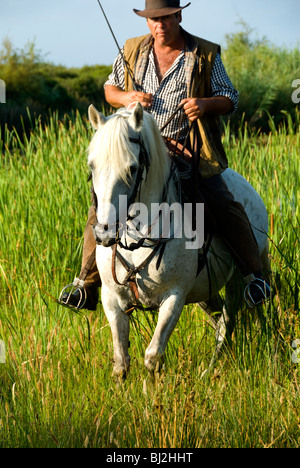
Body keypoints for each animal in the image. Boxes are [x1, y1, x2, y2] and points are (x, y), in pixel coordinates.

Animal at [87, 103, 270, 380]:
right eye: (92, 167)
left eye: (132, 168)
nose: (104, 234)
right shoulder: (111, 298)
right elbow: (120, 362)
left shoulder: (174, 297)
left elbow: (153, 356)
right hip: (206, 290)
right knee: (220, 319)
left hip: (248, 271)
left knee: (239, 317)